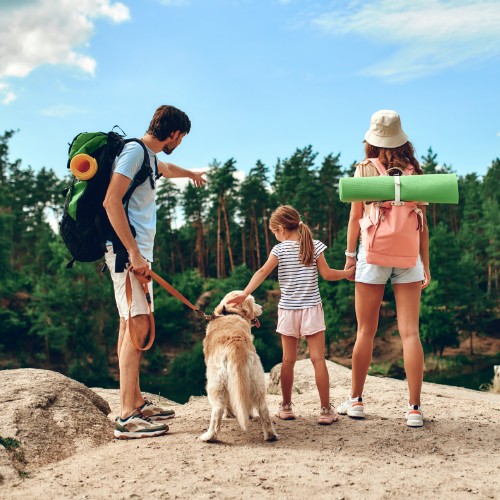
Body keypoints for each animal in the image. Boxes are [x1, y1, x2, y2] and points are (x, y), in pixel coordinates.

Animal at [199, 292, 278, 444]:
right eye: (254, 302)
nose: (262, 307)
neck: (230, 312)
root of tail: (236, 343)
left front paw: (230, 414)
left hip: (216, 383)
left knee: (218, 409)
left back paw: (210, 436)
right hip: (256, 380)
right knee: (262, 407)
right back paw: (270, 435)